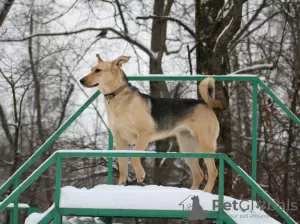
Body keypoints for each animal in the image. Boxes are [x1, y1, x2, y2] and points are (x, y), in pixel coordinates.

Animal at [79, 53, 223, 192]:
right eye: (91, 69)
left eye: (98, 70)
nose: (81, 80)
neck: (116, 96)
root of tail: (204, 103)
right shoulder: (120, 141)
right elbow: (123, 168)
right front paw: (121, 186)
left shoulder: (144, 134)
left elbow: (134, 157)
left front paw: (140, 174)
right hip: (187, 148)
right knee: (199, 174)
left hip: (204, 145)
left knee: (213, 172)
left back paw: (206, 192)